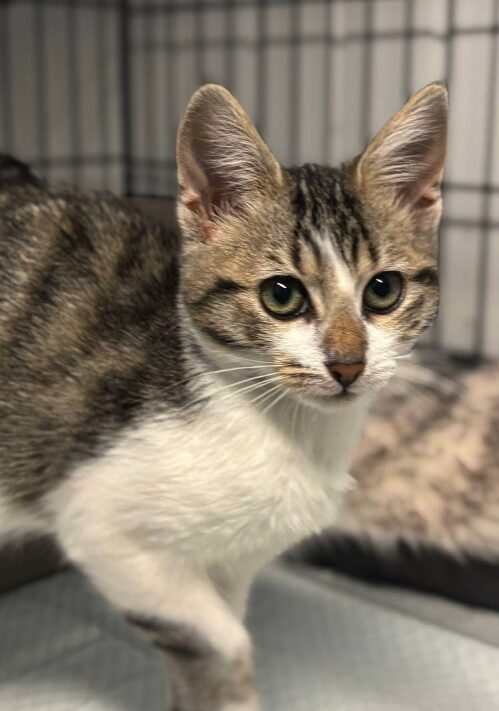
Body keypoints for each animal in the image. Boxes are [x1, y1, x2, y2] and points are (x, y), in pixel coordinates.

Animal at [0, 85, 446, 711]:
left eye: (383, 290)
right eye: (281, 295)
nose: (347, 364)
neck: (283, 427)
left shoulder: (229, 563)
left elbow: (218, 627)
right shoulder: (101, 525)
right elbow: (225, 641)